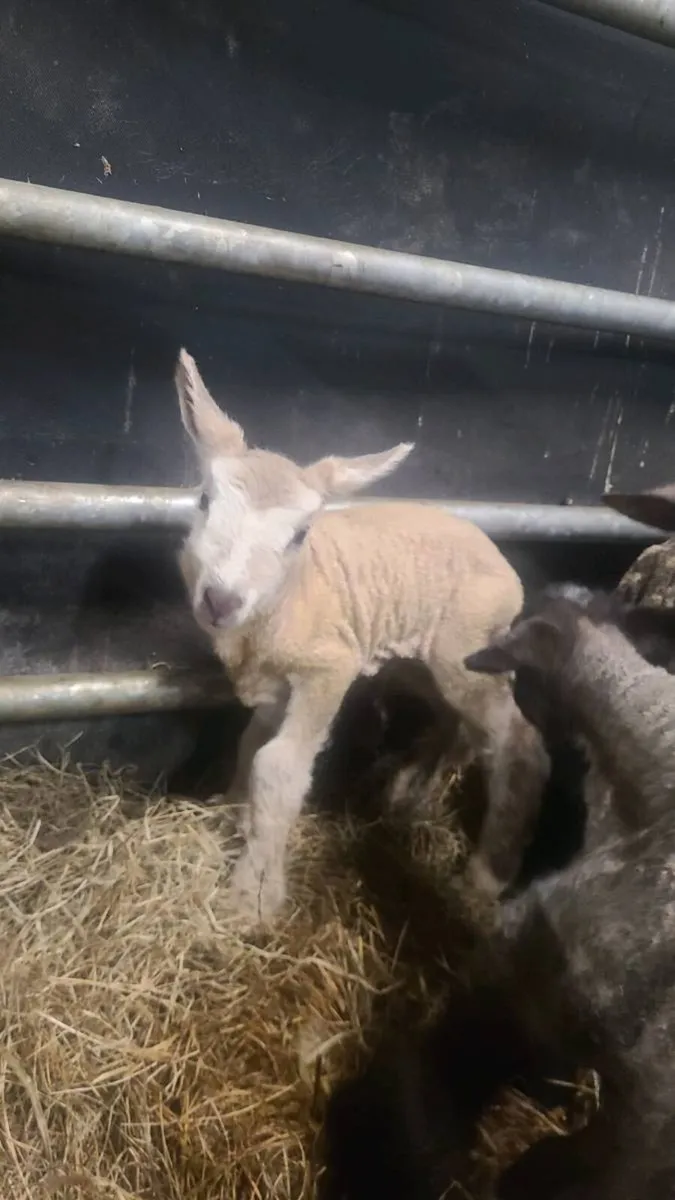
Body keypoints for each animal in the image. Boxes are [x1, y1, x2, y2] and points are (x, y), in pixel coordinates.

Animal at [174, 348, 549, 923]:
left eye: (300, 535)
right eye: (204, 501)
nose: (221, 600)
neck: (284, 604)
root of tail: (505, 566)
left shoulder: (329, 668)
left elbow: (277, 766)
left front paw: (253, 899)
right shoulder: (275, 684)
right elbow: (250, 743)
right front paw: (232, 812)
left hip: (464, 651)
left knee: (518, 742)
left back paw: (484, 878)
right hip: (424, 662)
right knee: (459, 726)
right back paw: (408, 793)